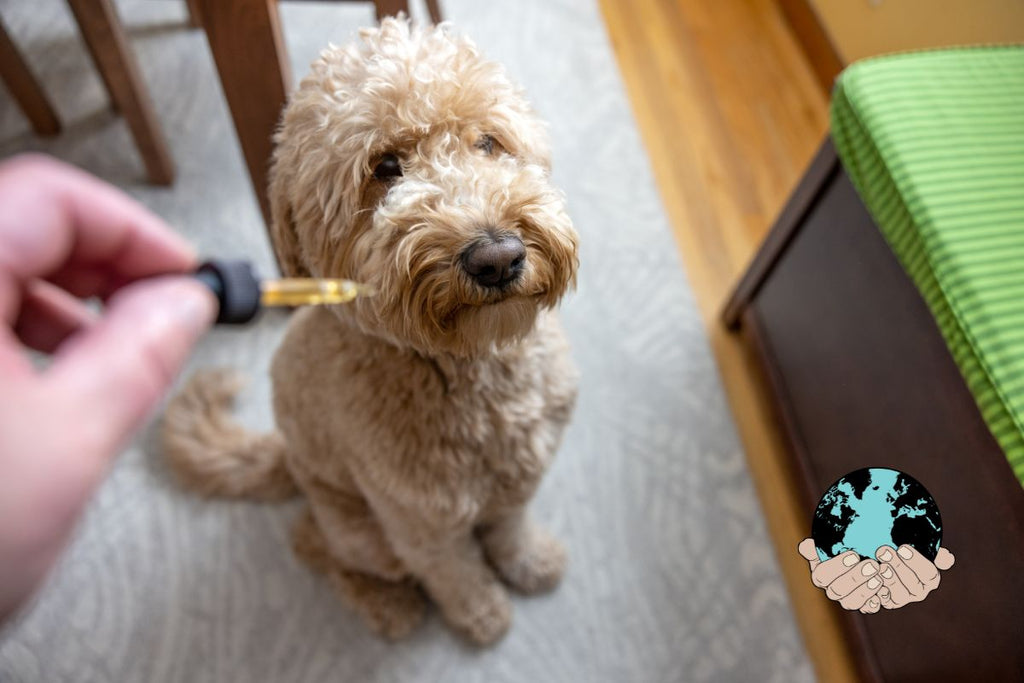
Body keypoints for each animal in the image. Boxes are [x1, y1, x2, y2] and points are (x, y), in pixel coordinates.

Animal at [159, 17, 577, 647]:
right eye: (384, 168)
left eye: (487, 142)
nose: (497, 257)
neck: (466, 369)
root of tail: (287, 459)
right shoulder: (419, 522)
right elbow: (454, 572)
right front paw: (482, 615)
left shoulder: (522, 476)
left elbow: (509, 528)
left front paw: (528, 561)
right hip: (361, 531)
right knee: (314, 545)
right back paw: (387, 606)